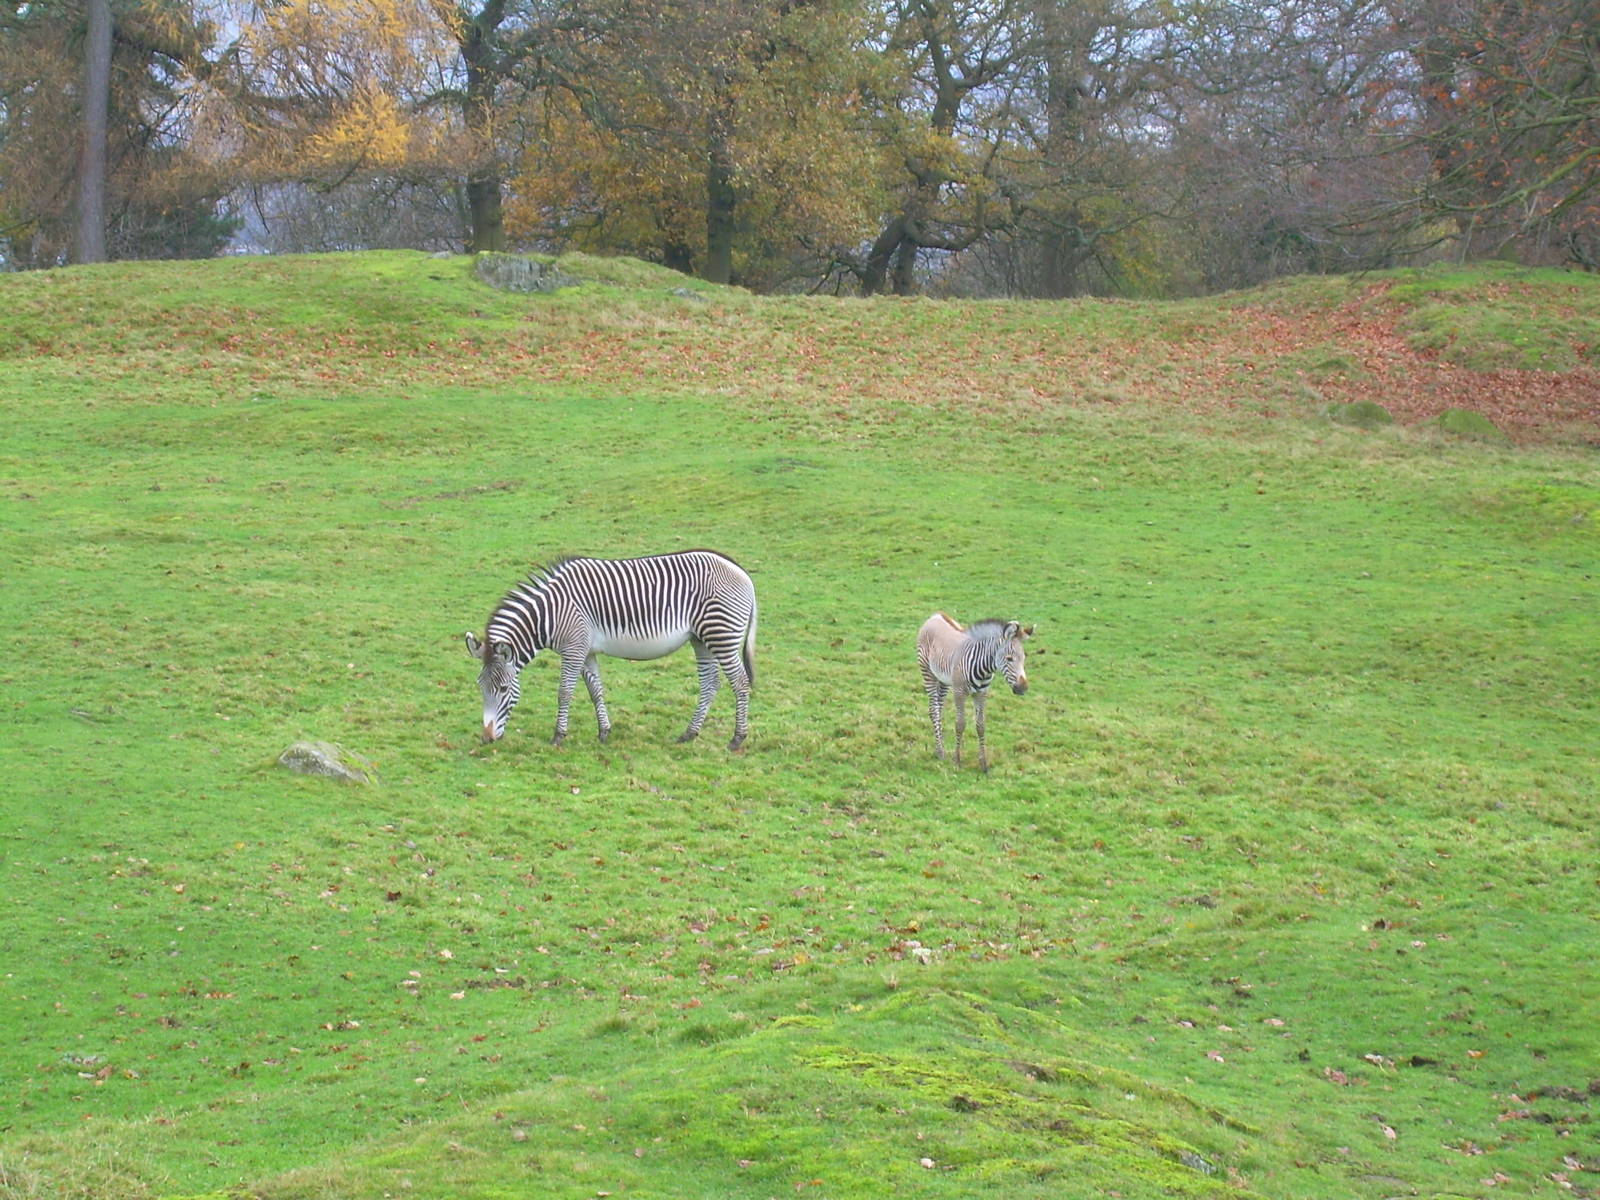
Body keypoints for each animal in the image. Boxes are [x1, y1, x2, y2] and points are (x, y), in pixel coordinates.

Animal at [465, 550, 758, 749]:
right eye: (480, 687)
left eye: (503, 689)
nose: (486, 739)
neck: (549, 614)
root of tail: (741, 571)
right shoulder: (586, 651)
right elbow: (596, 691)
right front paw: (604, 731)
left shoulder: (573, 649)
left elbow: (564, 693)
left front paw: (558, 736)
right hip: (701, 639)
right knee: (711, 684)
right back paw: (689, 733)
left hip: (721, 635)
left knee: (741, 683)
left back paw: (737, 738)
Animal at [917, 613, 1032, 771]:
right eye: (1009, 659)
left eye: (1024, 658)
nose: (1023, 688)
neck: (984, 667)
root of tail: (936, 615)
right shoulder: (959, 692)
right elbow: (960, 724)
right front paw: (957, 760)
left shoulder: (981, 693)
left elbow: (980, 726)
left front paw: (983, 763)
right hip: (928, 673)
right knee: (934, 710)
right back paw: (940, 752)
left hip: (944, 680)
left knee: (939, 709)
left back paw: (939, 747)